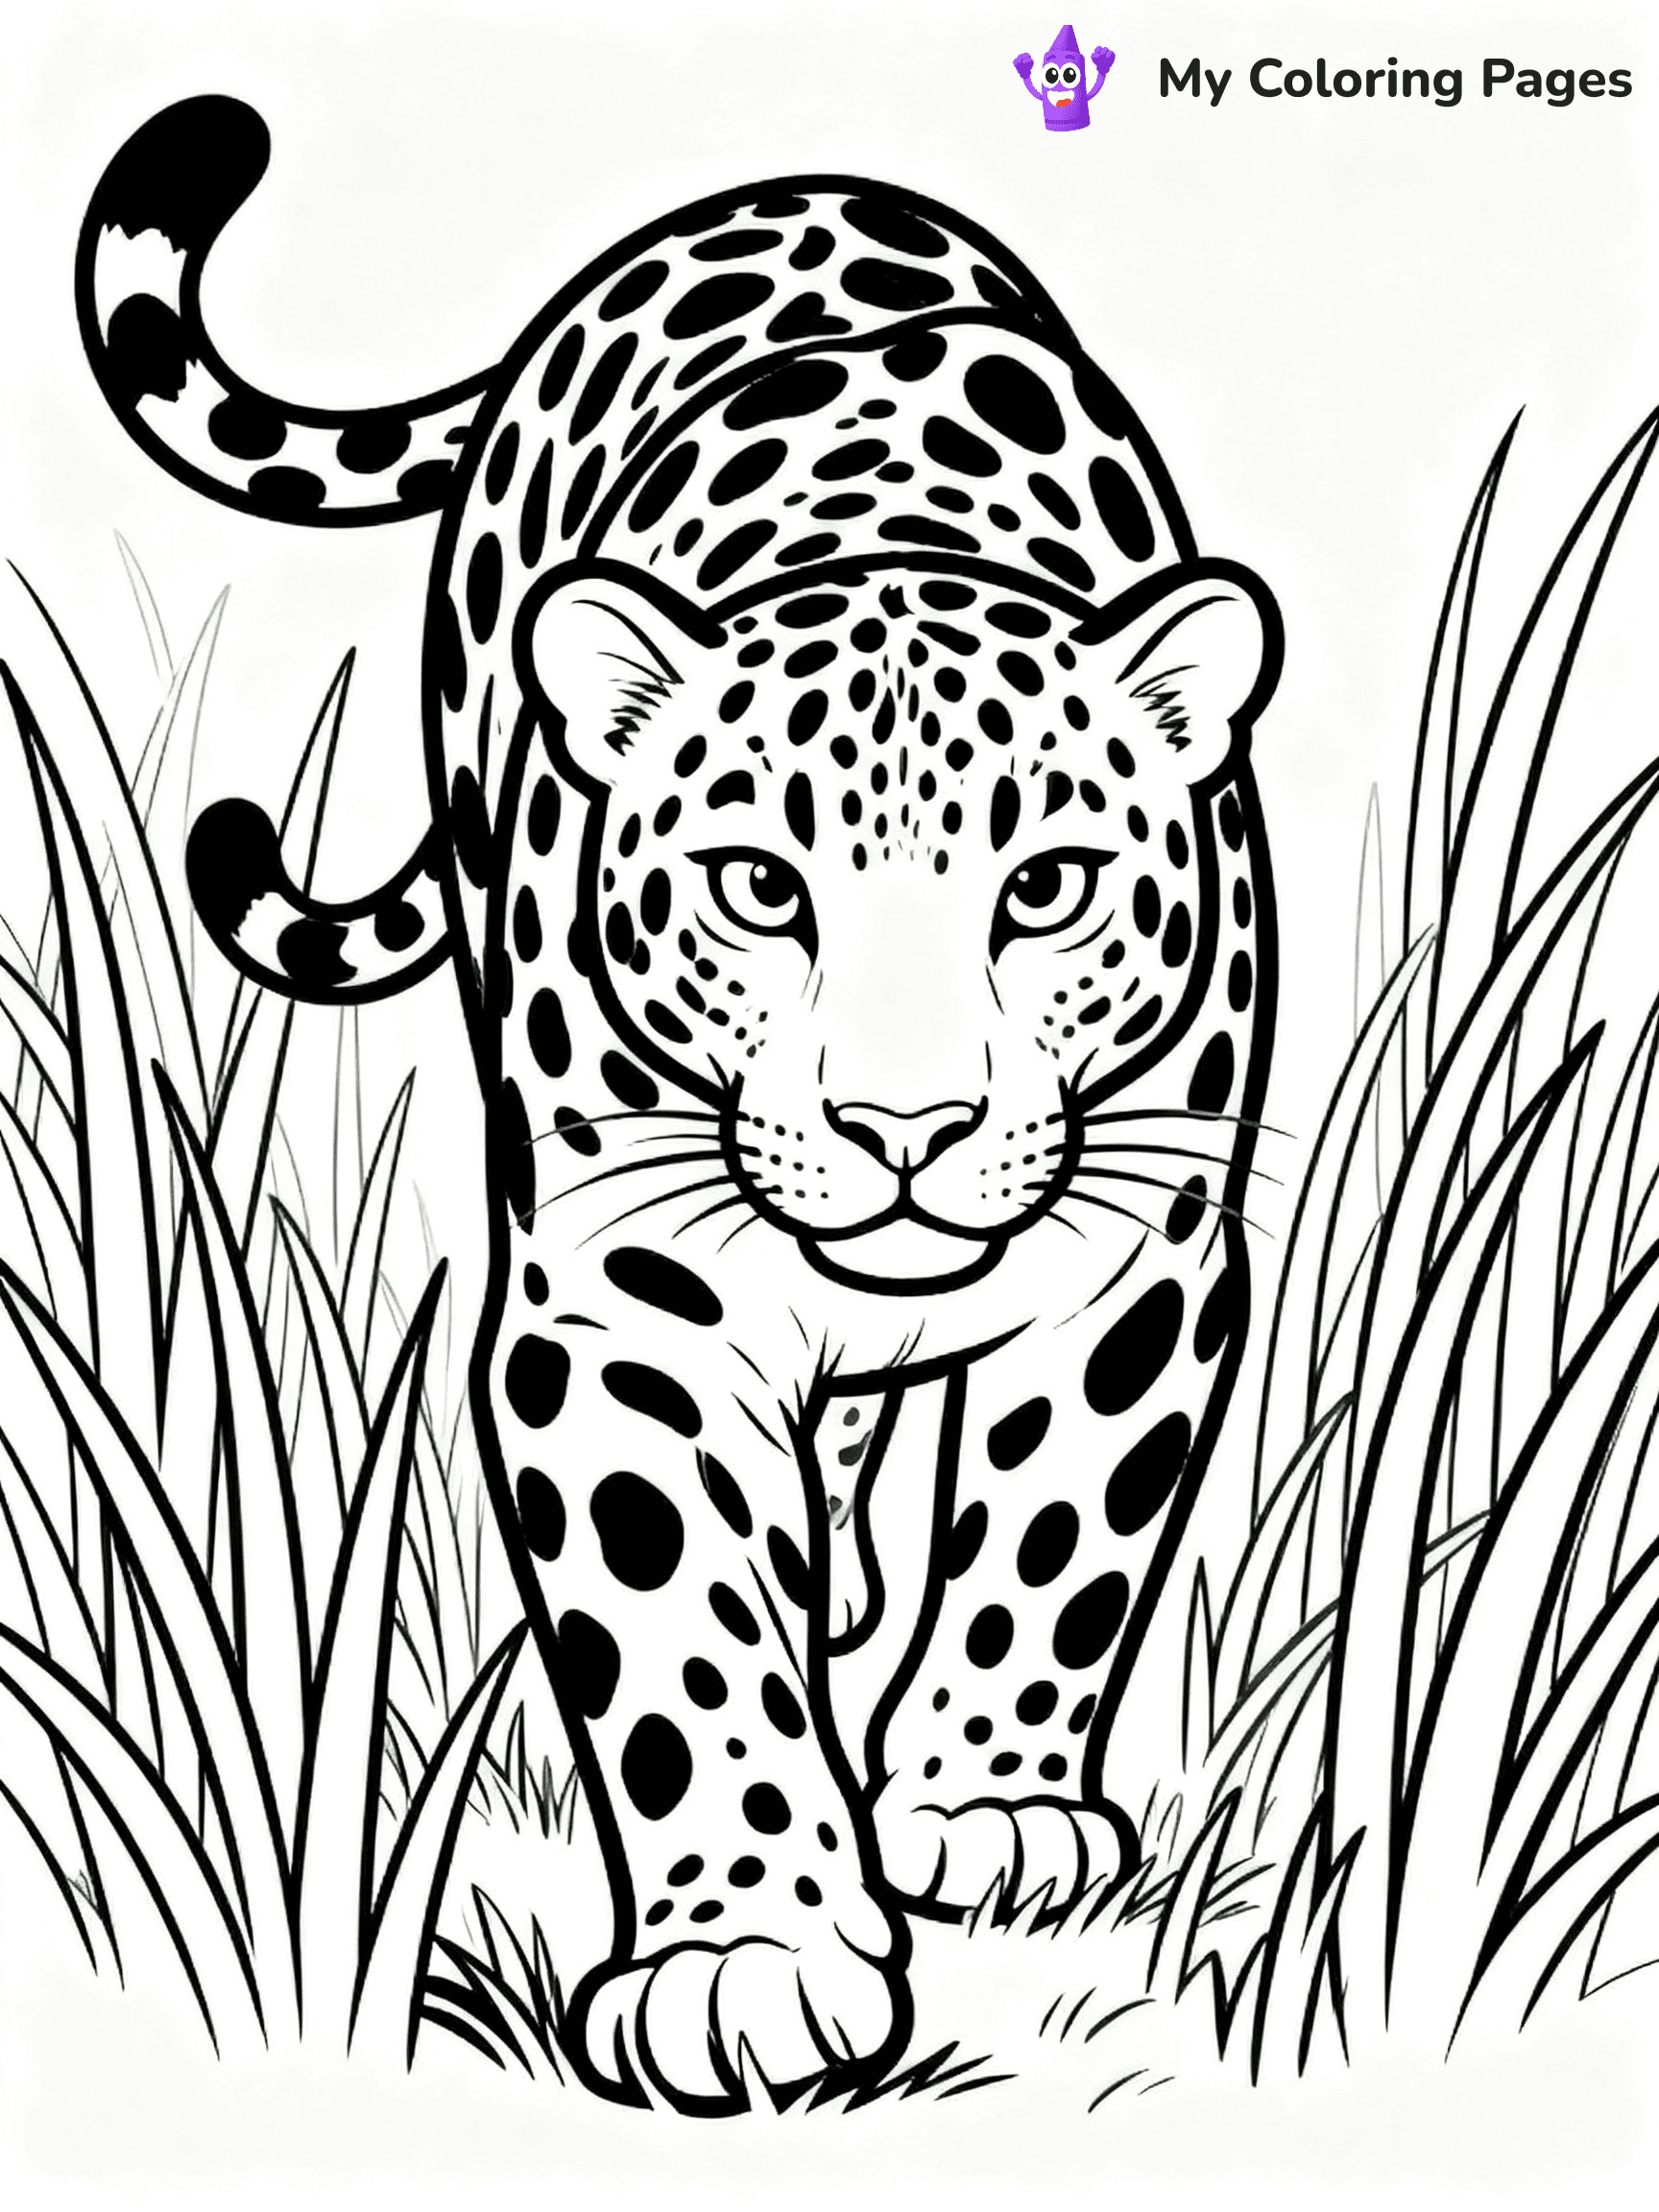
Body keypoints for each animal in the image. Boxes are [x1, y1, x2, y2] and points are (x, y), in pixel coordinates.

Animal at [78, 95, 1282, 2113]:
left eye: (1041, 886)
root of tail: (768, 187)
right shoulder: (619, 1309)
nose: (902, 1124)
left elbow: (1054, 1543)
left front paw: (986, 1805)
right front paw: (749, 1956)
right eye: (756, 885)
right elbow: (680, 1628)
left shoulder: (1141, 1257)